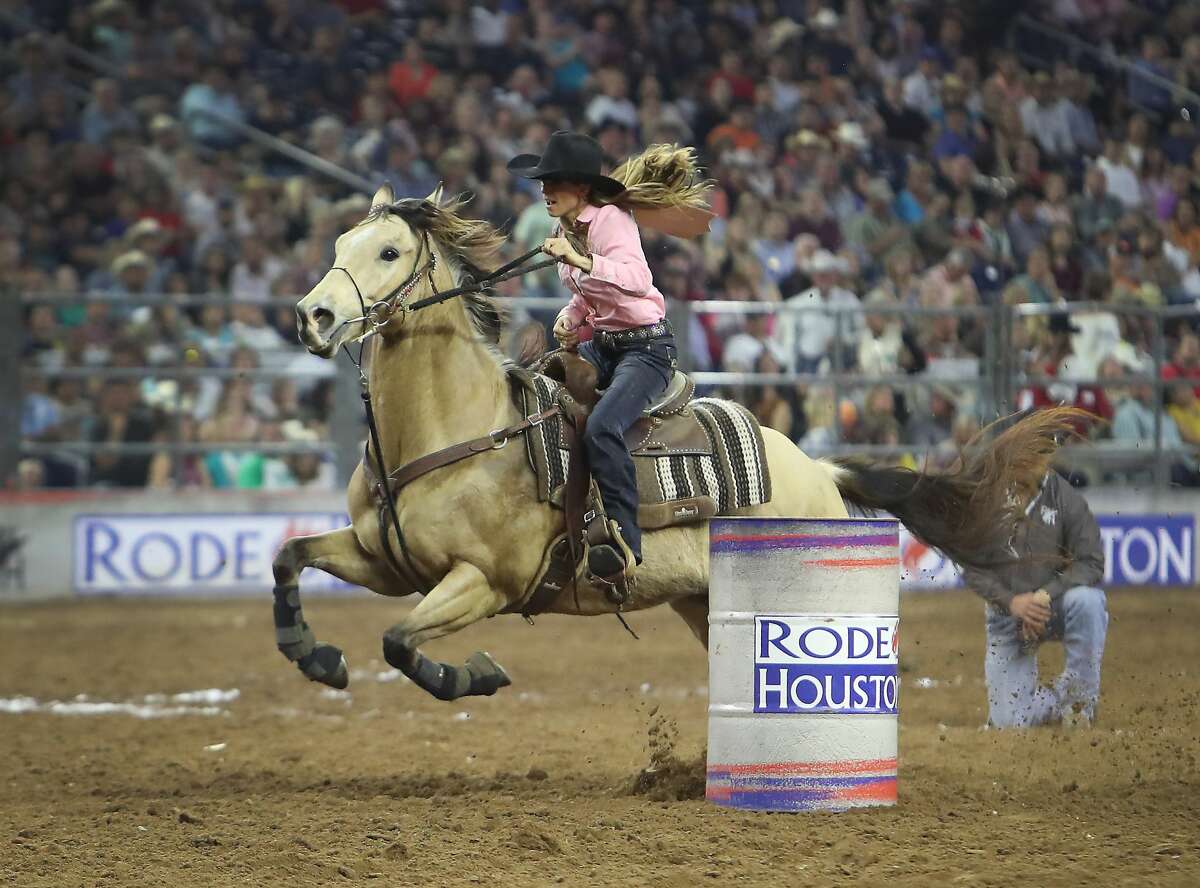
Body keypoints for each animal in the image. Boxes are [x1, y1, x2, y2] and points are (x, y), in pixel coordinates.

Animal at [278, 183, 1080, 705]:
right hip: (702, 599)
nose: (313, 316)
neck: (464, 429)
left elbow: (400, 643)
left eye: (388, 251)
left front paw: (475, 673)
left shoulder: (484, 581)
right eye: (340, 244)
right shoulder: (385, 560)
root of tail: (817, 468)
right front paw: (314, 655)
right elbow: (293, 557)